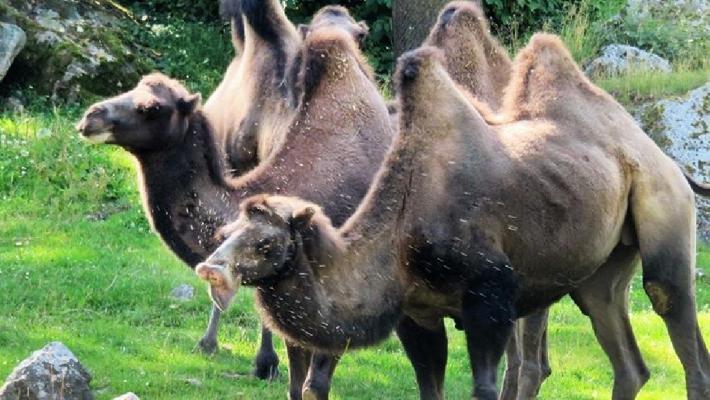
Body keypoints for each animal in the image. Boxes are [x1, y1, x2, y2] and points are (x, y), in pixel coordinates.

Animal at [76, 22, 394, 400]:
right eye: (135, 84)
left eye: (151, 108)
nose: (90, 115)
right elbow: (296, 380)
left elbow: (315, 383)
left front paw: (265, 364)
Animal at [197, 35, 710, 400]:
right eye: (225, 232)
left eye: (265, 243)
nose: (211, 268)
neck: (402, 232)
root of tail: (665, 159)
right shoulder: (417, 314)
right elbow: (430, 386)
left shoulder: (490, 299)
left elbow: (484, 386)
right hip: (601, 269)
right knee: (627, 356)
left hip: (664, 208)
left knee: (671, 305)